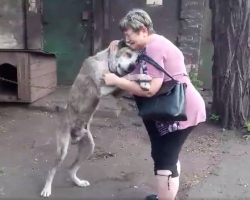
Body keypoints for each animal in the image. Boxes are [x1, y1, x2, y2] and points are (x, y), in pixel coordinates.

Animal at [39, 40, 150, 197]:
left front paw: (144, 81)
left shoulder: (117, 91)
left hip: (88, 147)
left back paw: (78, 182)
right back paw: (47, 189)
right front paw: (143, 78)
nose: (132, 66)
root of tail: (74, 136)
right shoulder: (101, 88)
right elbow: (125, 78)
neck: (106, 63)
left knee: (71, 169)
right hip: (62, 150)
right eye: (128, 54)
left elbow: (126, 80)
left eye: (136, 60)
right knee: (51, 170)